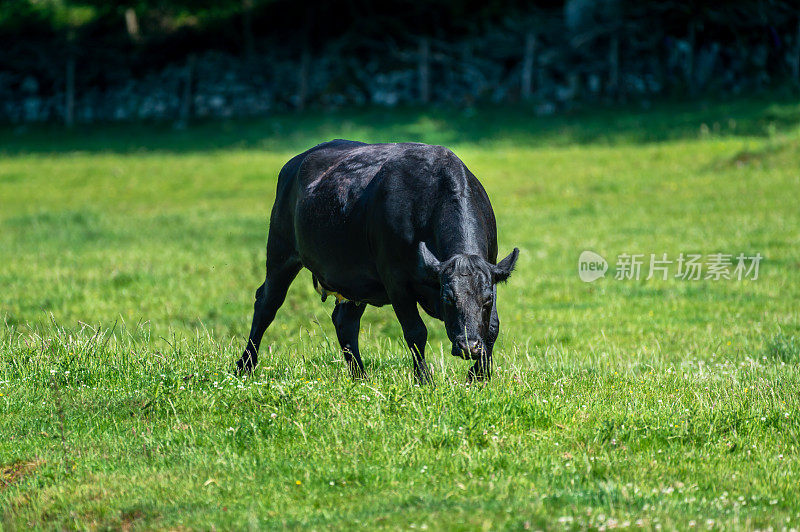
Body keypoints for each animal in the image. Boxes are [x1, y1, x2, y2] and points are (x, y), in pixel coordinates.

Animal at [238, 140, 520, 382]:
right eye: (448, 299)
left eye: (486, 301)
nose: (468, 346)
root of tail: (296, 163)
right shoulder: (396, 281)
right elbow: (416, 331)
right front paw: (424, 381)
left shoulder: (492, 271)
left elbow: (492, 327)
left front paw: (479, 377)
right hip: (281, 252)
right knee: (267, 304)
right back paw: (244, 366)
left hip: (353, 280)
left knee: (345, 321)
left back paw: (359, 376)